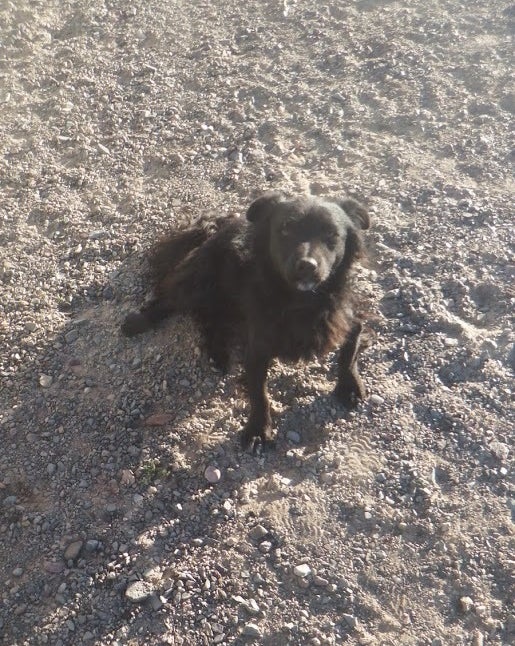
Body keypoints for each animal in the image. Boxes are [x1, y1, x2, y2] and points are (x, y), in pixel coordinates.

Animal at [122, 194, 370, 450]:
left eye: (331, 234)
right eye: (286, 229)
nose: (307, 265)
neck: (301, 302)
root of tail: (217, 226)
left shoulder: (343, 320)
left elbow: (351, 347)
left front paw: (350, 384)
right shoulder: (257, 349)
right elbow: (259, 393)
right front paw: (258, 429)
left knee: (209, 319)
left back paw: (218, 354)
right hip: (199, 282)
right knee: (171, 298)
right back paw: (140, 321)